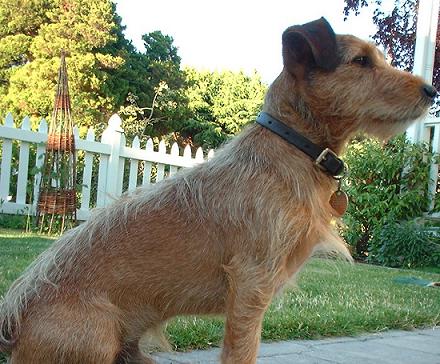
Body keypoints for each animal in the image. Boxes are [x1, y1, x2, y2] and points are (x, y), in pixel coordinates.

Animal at [0, 17, 436, 364]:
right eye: (361, 61)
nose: (431, 92)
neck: (293, 148)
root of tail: (12, 320)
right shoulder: (250, 285)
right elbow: (240, 353)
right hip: (98, 337)